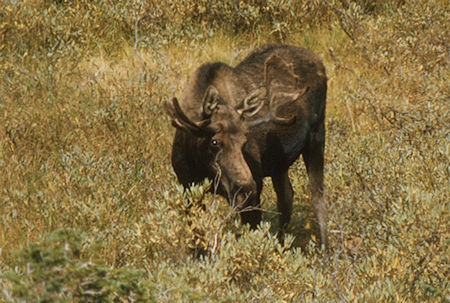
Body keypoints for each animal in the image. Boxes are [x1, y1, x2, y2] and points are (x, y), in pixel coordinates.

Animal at [163, 45, 328, 249]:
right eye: (214, 142)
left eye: (244, 140)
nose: (246, 190)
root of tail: (320, 62)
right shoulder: (187, 188)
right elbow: (198, 241)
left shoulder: (255, 192)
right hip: (279, 164)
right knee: (286, 196)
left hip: (317, 137)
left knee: (318, 198)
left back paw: (326, 250)